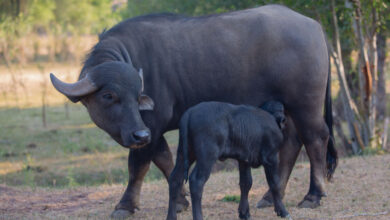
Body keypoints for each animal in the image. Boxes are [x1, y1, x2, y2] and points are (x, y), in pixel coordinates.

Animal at [51, 4, 338, 218]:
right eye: (109, 95)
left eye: (136, 95)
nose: (138, 135)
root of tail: (314, 26)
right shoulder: (153, 130)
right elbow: (166, 160)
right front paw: (180, 201)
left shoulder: (151, 125)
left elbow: (139, 165)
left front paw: (125, 205)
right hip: (285, 109)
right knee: (291, 143)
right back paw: (270, 196)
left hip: (305, 104)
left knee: (315, 138)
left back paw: (313, 195)